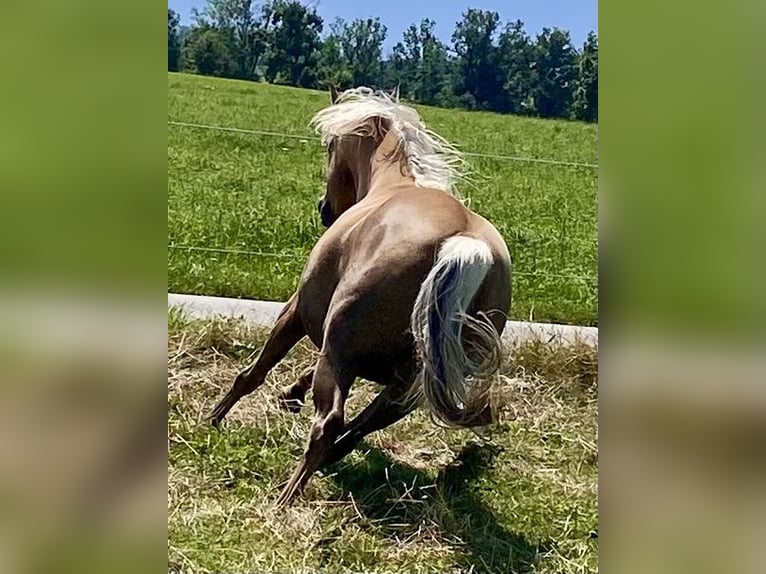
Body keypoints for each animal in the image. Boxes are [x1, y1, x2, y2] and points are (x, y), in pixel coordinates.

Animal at [207, 86, 512, 507]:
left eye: (330, 146)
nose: (325, 210)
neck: (392, 184)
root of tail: (464, 246)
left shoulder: (298, 313)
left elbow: (253, 373)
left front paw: (213, 419)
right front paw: (288, 395)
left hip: (345, 356)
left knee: (329, 425)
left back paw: (286, 498)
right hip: (405, 386)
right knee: (359, 428)